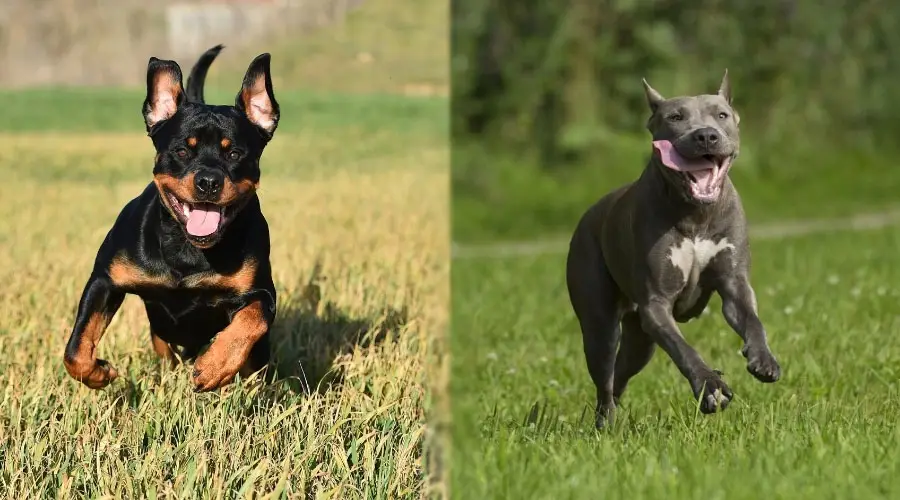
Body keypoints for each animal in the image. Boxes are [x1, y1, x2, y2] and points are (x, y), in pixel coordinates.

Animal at [62, 46, 280, 390]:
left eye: (235, 154)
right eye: (181, 151)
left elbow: (252, 318)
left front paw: (215, 366)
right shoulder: (105, 279)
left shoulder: (261, 293)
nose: (208, 181)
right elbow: (76, 348)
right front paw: (98, 373)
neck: (189, 249)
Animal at [568, 72, 780, 428]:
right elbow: (684, 349)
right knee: (605, 377)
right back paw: (604, 424)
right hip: (600, 324)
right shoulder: (656, 306)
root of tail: (588, 215)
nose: (706, 135)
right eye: (675, 117)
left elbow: (752, 320)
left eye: (721, 115)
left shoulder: (734, 285)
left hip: (640, 343)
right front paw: (710, 387)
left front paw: (763, 359)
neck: (696, 213)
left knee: (620, 375)